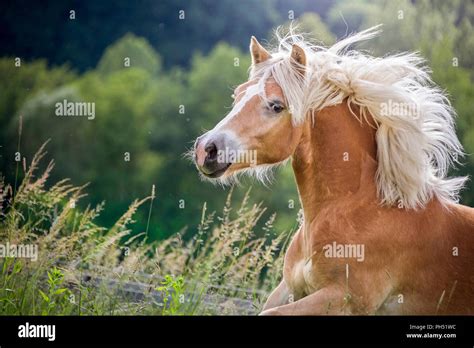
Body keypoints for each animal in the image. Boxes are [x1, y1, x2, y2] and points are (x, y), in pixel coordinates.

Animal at [191, 26, 472, 316]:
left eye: (277, 105)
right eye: (237, 96)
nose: (206, 149)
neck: (365, 207)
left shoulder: (344, 300)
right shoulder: (289, 288)